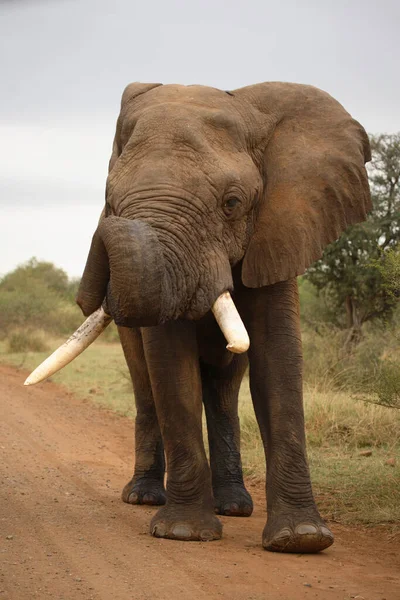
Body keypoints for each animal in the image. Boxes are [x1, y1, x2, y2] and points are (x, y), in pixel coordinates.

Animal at [25, 81, 372, 552]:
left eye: (232, 203)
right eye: (111, 201)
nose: (107, 220)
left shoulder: (279, 230)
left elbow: (278, 363)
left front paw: (302, 540)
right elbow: (172, 369)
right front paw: (184, 533)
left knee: (224, 390)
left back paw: (234, 506)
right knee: (146, 385)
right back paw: (144, 497)